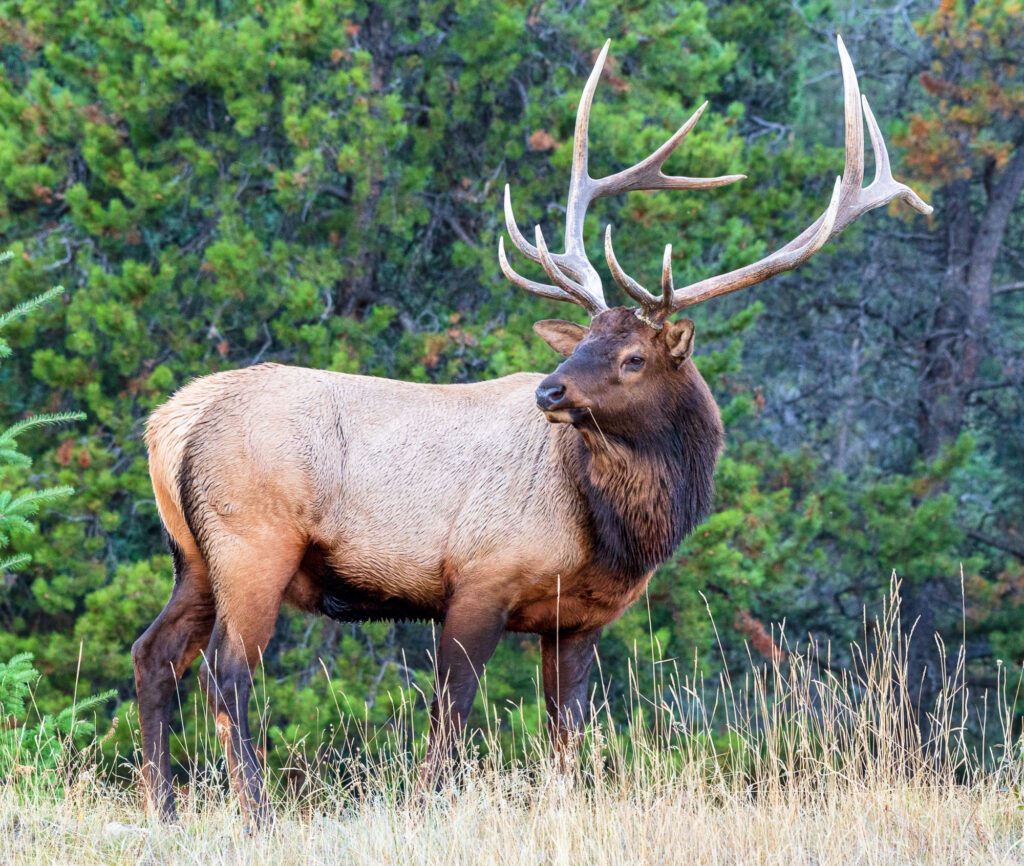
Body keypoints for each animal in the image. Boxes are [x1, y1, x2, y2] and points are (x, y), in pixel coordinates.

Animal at [132, 36, 930, 825]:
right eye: (584, 342)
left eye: (632, 356)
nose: (550, 389)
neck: (609, 529)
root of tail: (171, 422)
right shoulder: (478, 579)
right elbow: (451, 711)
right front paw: (430, 807)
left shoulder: (576, 621)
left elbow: (565, 730)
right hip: (253, 542)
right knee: (227, 671)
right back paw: (256, 811)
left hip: (193, 556)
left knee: (153, 654)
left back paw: (164, 806)